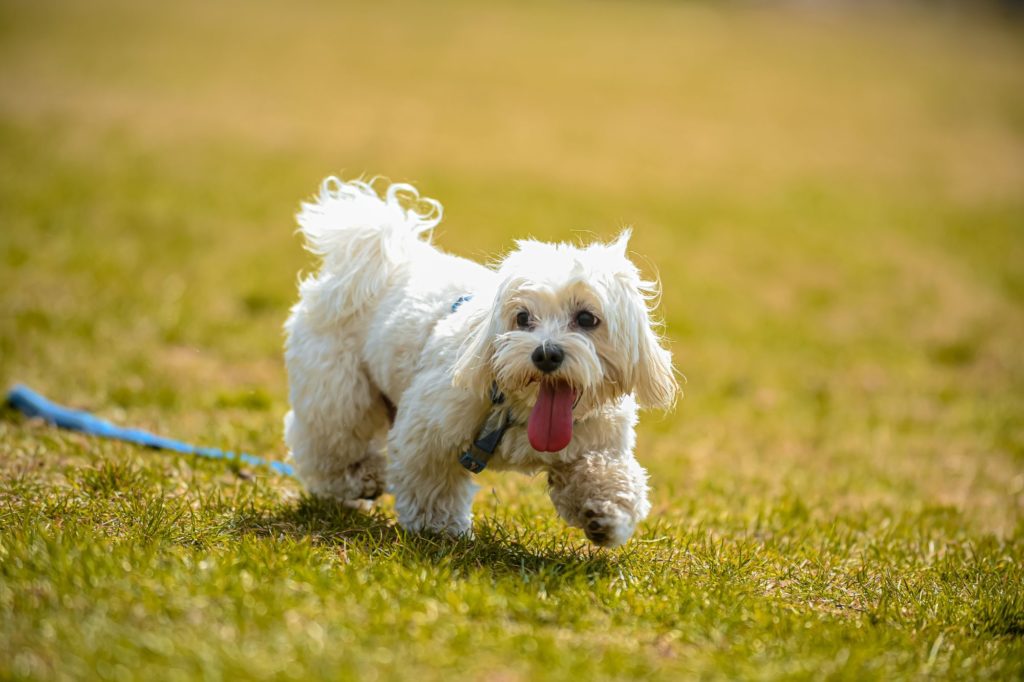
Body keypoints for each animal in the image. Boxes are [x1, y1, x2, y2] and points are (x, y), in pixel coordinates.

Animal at [284, 176, 675, 548]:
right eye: (522, 317)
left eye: (587, 318)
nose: (545, 353)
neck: (520, 409)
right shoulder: (427, 430)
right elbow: (431, 483)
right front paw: (437, 528)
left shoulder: (597, 442)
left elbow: (607, 474)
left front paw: (605, 512)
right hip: (337, 388)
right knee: (328, 440)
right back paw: (361, 477)